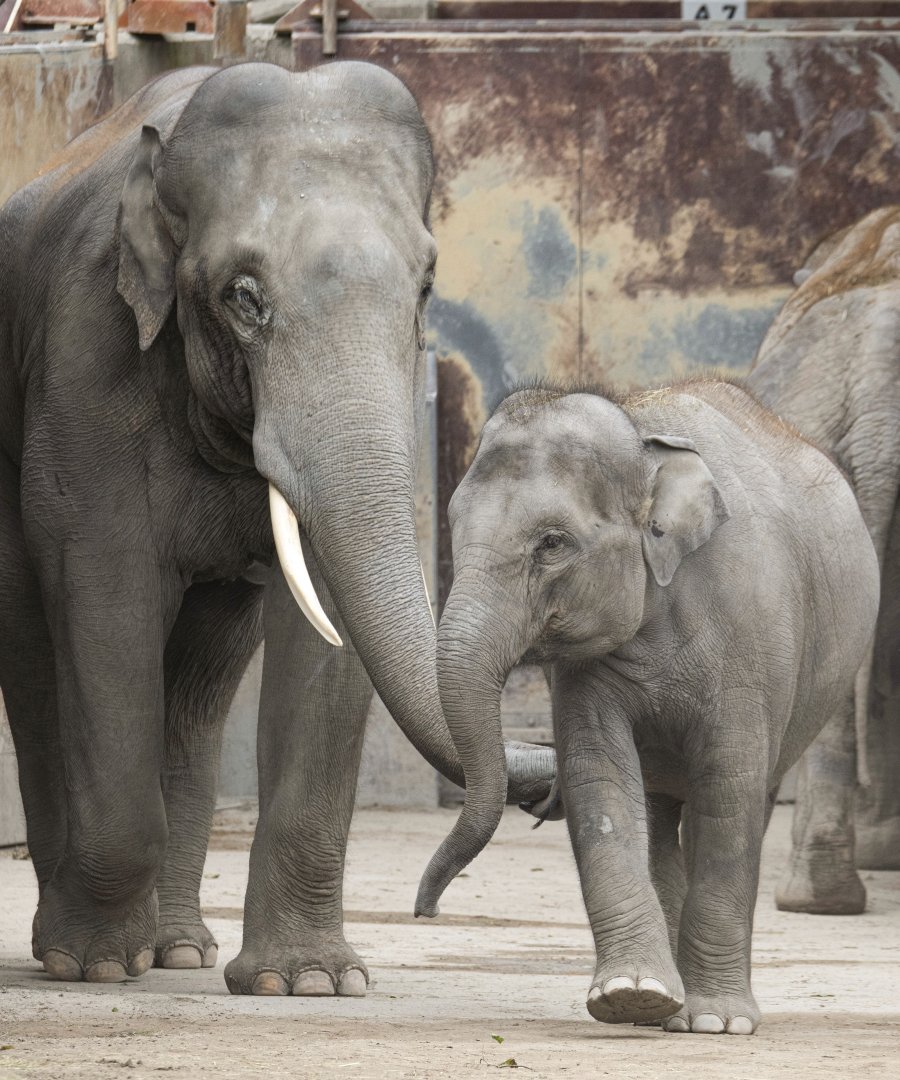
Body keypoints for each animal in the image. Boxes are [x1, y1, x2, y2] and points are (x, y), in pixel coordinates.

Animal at [0, 60, 555, 993]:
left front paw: (309, 982)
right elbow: (104, 597)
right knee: (43, 663)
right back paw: (92, 950)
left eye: (426, 287)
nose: (427, 904)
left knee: (198, 680)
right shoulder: (83, 370)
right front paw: (96, 965)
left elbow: (327, 629)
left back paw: (180, 950)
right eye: (245, 297)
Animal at [415, 379, 879, 1034]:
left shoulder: (753, 639)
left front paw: (716, 1023)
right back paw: (667, 1002)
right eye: (451, 523)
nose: (425, 912)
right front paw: (632, 997)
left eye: (552, 543)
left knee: (745, 801)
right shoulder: (583, 669)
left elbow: (729, 789)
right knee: (659, 815)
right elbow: (600, 776)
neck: (643, 442)